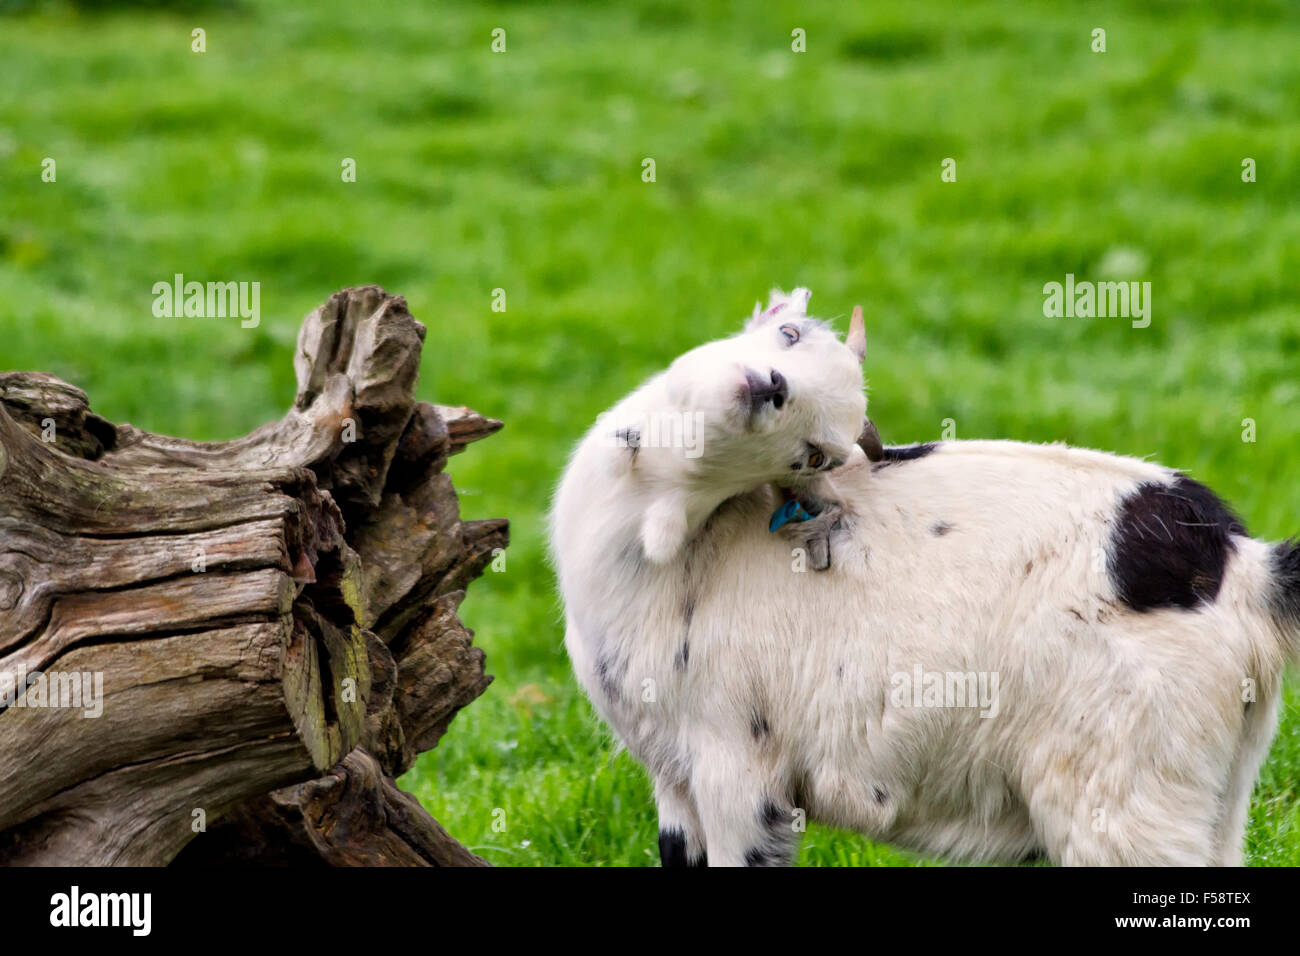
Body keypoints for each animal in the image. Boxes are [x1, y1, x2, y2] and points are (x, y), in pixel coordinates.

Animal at [548, 291, 1300, 868]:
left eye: (812, 451)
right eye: (787, 333)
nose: (770, 386)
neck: (668, 552)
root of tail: (1247, 569)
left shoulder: (734, 760)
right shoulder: (672, 778)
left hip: (1125, 783)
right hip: (1216, 784)